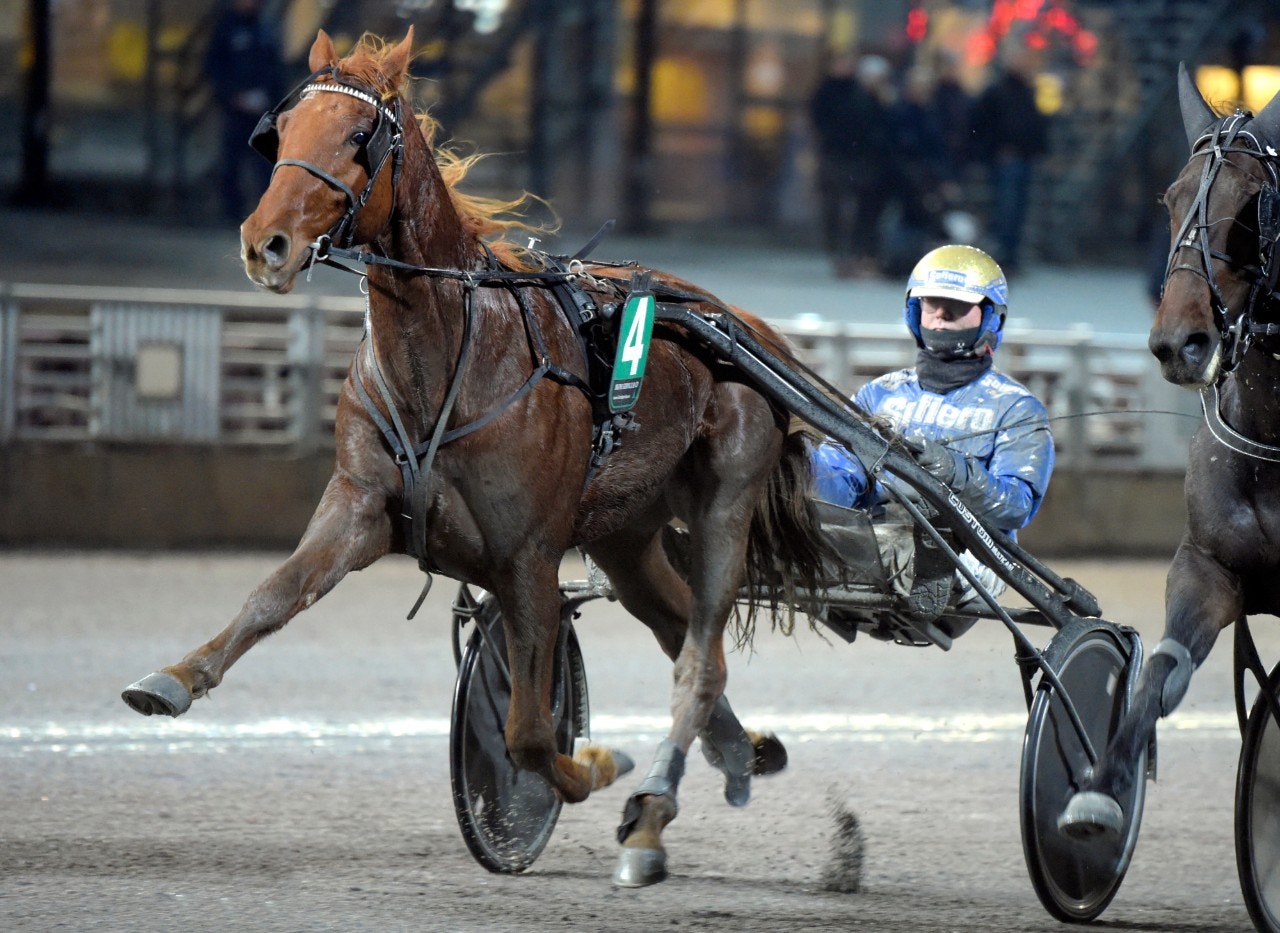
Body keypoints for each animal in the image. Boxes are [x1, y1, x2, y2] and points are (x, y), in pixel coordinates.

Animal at [120, 28, 832, 888]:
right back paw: (738, 751)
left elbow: (528, 729)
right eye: (280, 132)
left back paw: (651, 813)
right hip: (626, 535)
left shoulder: (528, 556)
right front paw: (173, 678)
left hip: (726, 503)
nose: (266, 245)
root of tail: (744, 323)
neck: (450, 355)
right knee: (684, 634)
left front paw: (596, 764)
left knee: (698, 661)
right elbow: (272, 595)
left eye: (359, 137)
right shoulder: (359, 505)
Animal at [1058, 66, 1280, 839]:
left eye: (1254, 204)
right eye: (1173, 197)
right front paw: (1101, 788)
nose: (1177, 342)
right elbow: (1164, 666)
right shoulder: (1208, 564)